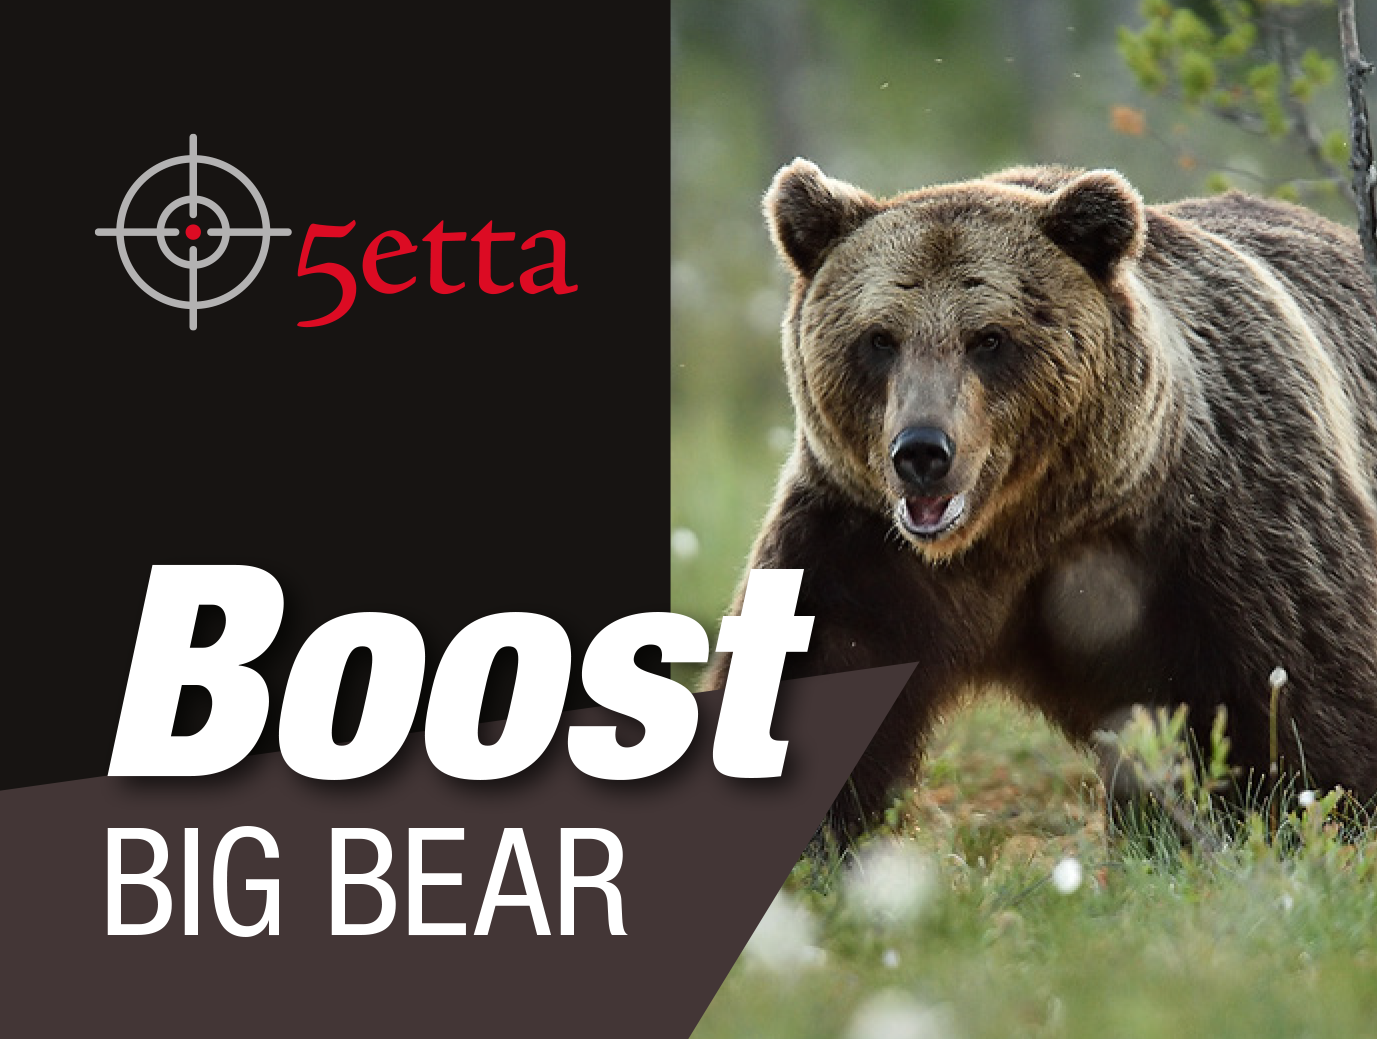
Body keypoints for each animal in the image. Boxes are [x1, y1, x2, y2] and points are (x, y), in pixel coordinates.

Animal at [703, 159, 1377, 843]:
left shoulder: (1220, 525)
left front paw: (1298, 816)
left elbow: (1297, 698)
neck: (1020, 525)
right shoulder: (858, 544)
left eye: (989, 338)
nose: (921, 450)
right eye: (879, 338)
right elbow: (810, 669)